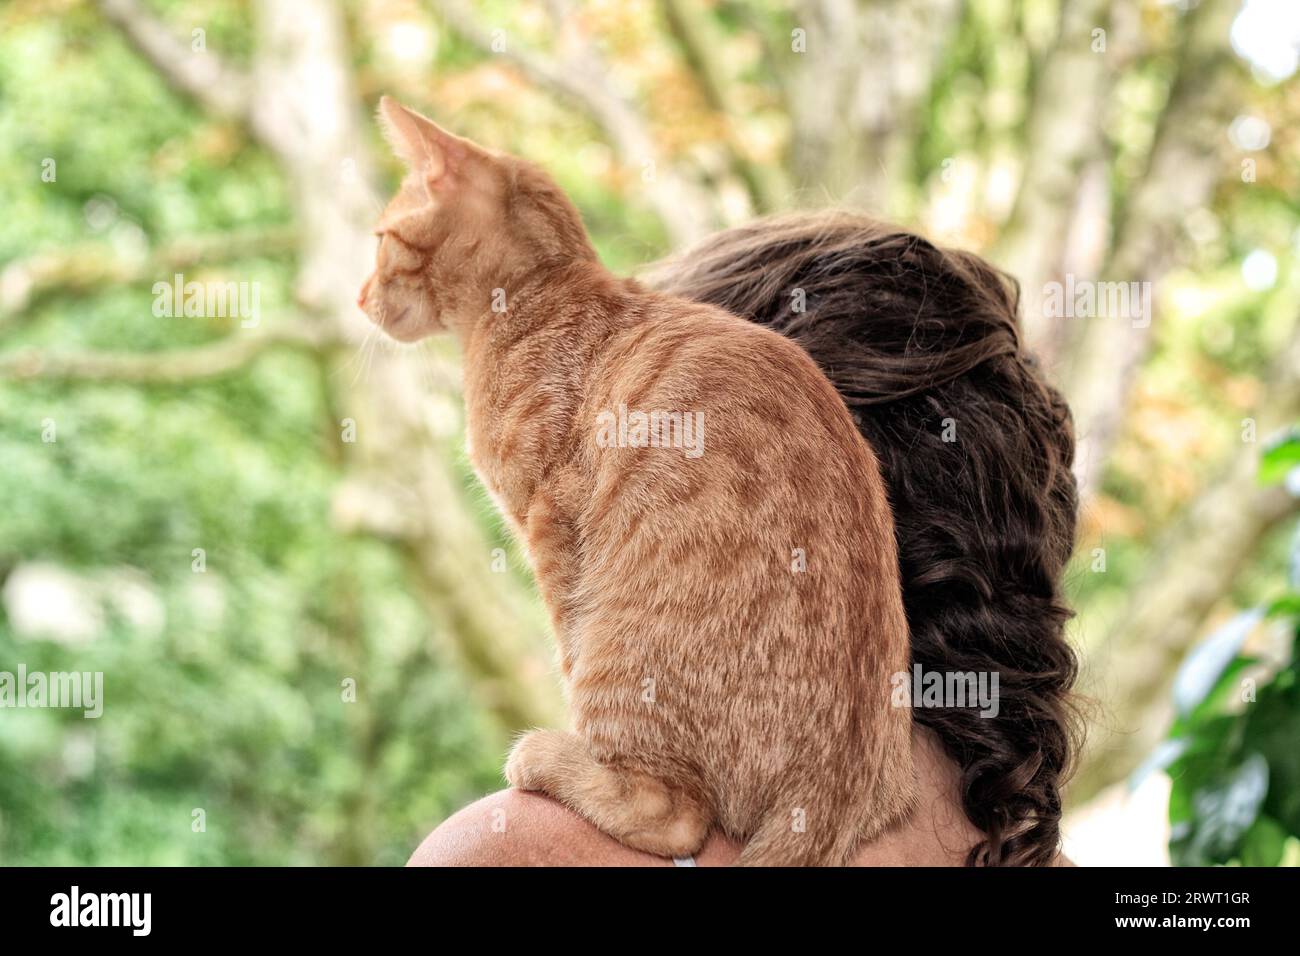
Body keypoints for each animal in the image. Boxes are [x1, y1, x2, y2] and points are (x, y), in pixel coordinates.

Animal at [361, 98, 920, 868]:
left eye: (383, 238)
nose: (360, 299)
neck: (534, 298)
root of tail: (831, 794)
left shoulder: (549, 518)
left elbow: (563, 646)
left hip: (622, 652)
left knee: (673, 812)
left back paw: (547, 756)